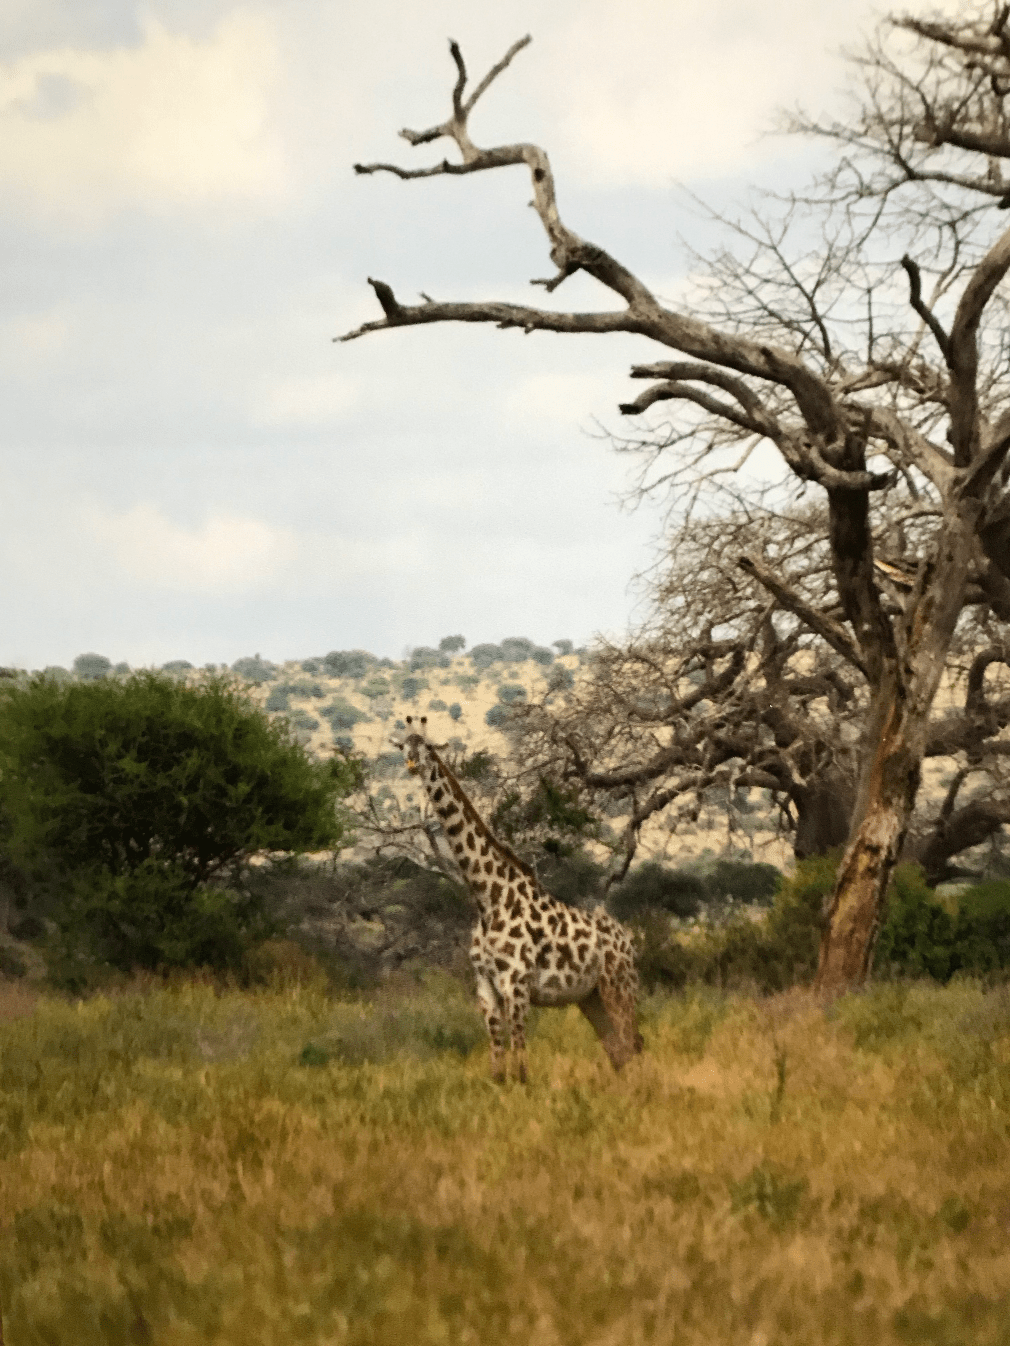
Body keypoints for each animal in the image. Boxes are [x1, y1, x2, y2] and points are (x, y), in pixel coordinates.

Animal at [394, 716, 643, 1083]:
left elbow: (520, 1060)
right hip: (590, 996)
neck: (487, 897)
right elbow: (497, 1061)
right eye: (403, 745)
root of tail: (627, 941)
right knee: (619, 1050)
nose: (411, 763)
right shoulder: (486, 987)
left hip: (619, 986)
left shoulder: (516, 983)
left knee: (632, 1043)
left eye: (425, 746)